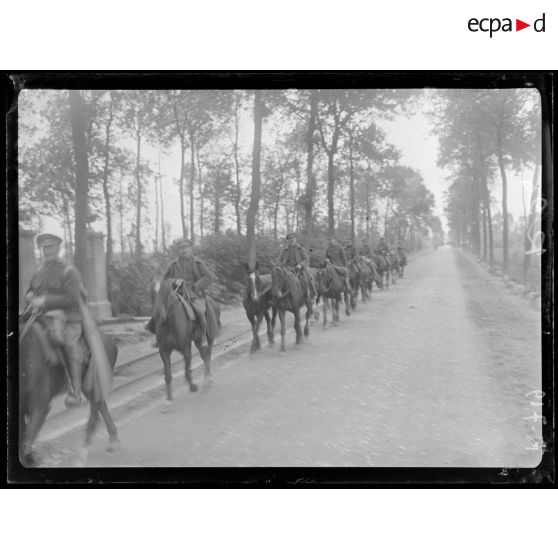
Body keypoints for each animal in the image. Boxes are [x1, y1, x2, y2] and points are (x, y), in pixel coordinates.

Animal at [19, 320, 119, 468]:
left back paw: (81, 457)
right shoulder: (23, 409)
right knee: (102, 408)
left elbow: (28, 439)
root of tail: (111, 341)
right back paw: (113, 440)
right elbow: (24, 438)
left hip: (91, 386)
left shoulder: (40, 405)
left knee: (94, 418)